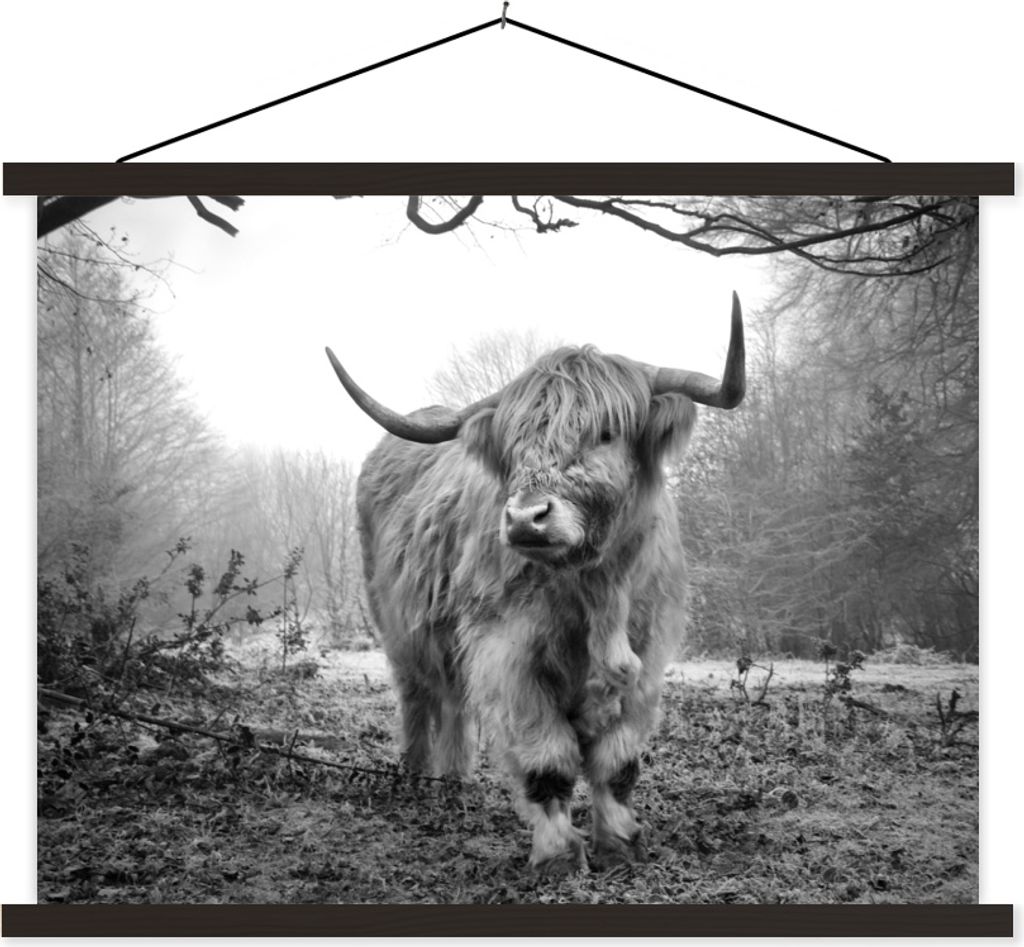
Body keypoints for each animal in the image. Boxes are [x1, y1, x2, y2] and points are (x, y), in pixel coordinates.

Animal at [325, 293, 744, 873]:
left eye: (606, 433)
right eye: (515, 443)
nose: (526, 518)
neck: (597, 591)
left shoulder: (648, 656)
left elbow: (618, 764)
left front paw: (620, 844)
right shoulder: (508, 655)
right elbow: (548, 762)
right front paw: (558, 856)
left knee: (452, 702)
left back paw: (453, 783)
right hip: (397, 628)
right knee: (417, 698)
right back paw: (416, 778)